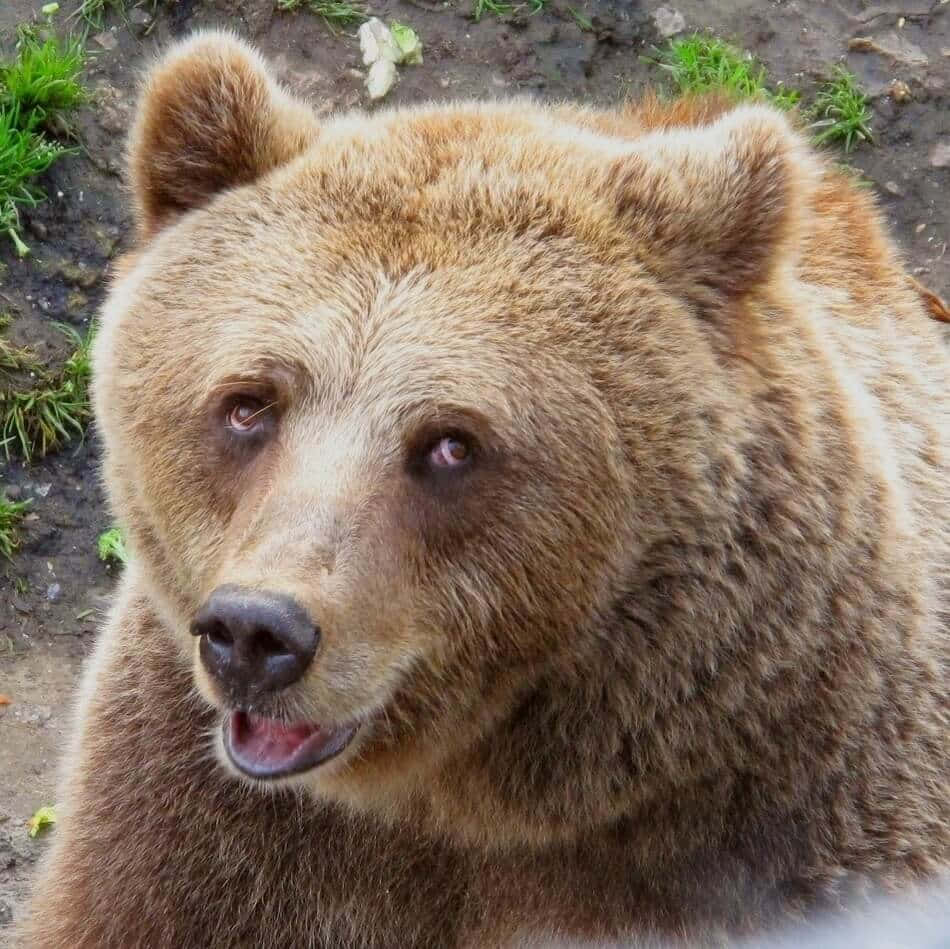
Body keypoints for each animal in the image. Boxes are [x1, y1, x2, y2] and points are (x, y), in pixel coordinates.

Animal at [20, 30, 949, 949]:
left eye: (451, 442)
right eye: (249, 402)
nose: (257, 631)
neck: (459, 795)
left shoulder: (786, 814)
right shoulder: (194, 816)